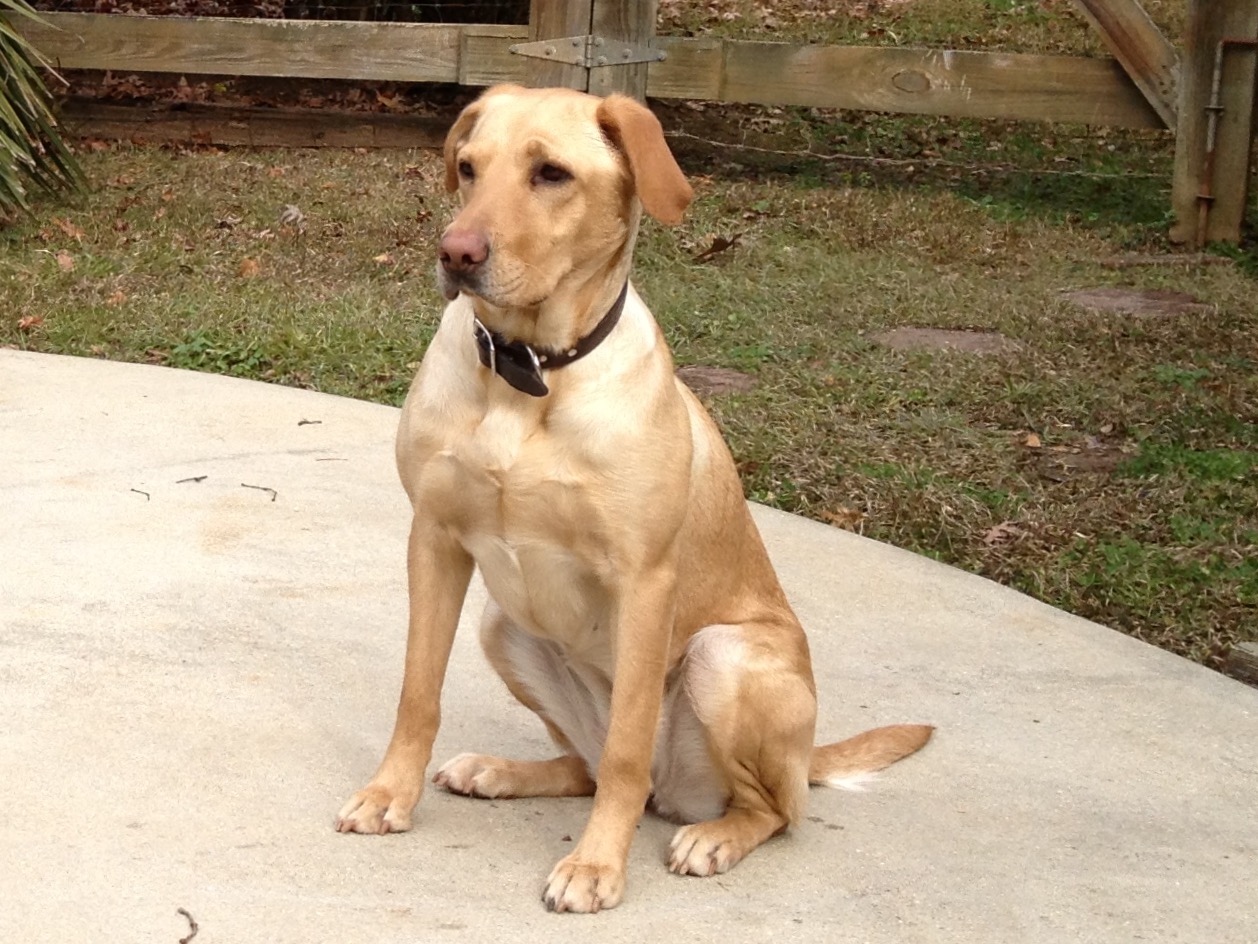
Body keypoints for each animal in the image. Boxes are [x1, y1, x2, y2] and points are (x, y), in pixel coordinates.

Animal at [337, 84, 935, 911]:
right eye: (469, 167)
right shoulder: (434, 538)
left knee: (763, 808)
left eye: (551, 174)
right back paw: (500, 771)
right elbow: (417, 692)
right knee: (588, 768)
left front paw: (596, 865)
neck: (531, 376)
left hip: (725, 657)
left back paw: (715, 837)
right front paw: (389, 794)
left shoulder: (644, 581)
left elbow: (624, 747)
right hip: (501, 623)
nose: (455, 254)